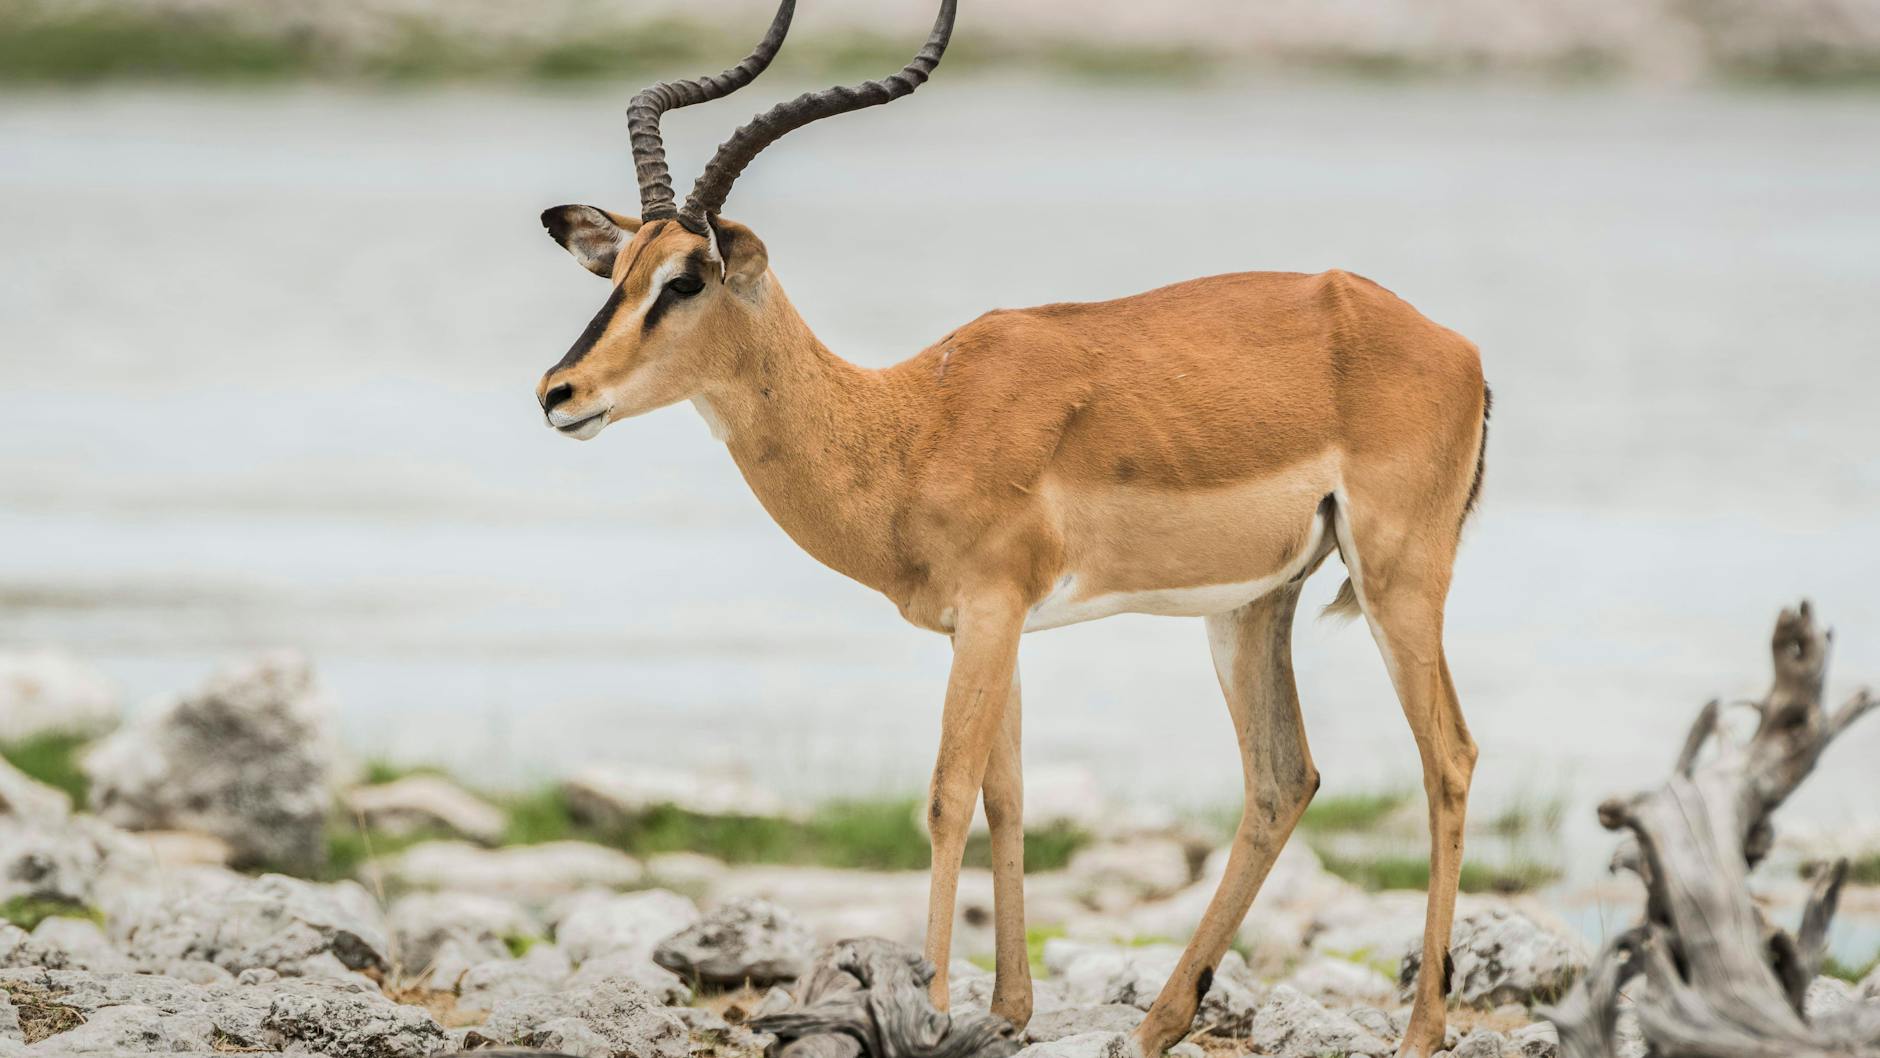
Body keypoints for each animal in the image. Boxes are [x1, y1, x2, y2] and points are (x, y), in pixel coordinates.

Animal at [532, 2, 1490, 1055]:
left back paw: (1418, 1030)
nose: (559, 393)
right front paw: (1006, 1013)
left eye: (687, 279)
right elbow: (1009, 794)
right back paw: (1157, 1023)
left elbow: (948, 797)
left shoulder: (990, 611)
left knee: (1448, 757)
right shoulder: (991, 625)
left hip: (1401, 580)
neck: (911, 424)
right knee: (1283, 779)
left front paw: (933, 1007)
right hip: (1250, 606)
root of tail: (1456, 348)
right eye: (619, 272)